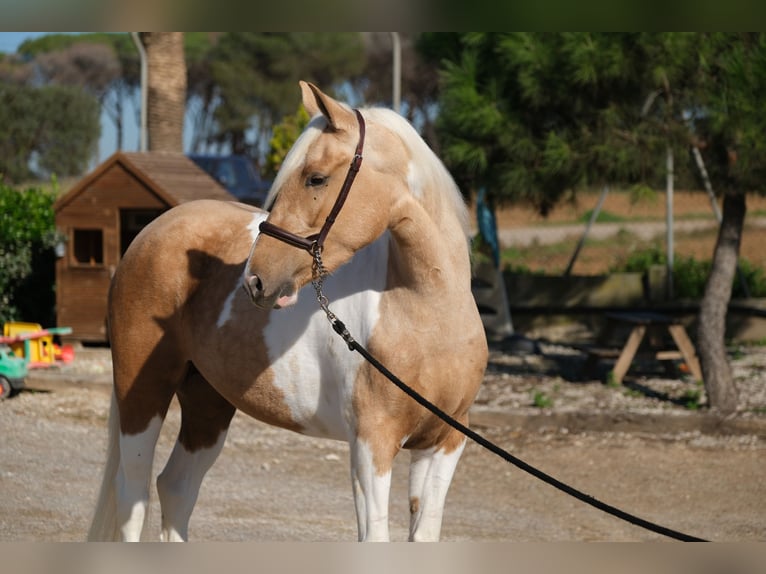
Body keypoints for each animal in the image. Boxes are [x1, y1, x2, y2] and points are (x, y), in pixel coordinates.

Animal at [87, 81, 488, 544]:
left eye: (316, 177)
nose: (256, 280)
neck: (427, 319)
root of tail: (148, 233)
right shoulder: (371, 444)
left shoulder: (443, 444)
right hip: (143, 392)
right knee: (133, 495)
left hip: (208, 402)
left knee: (176, 488)